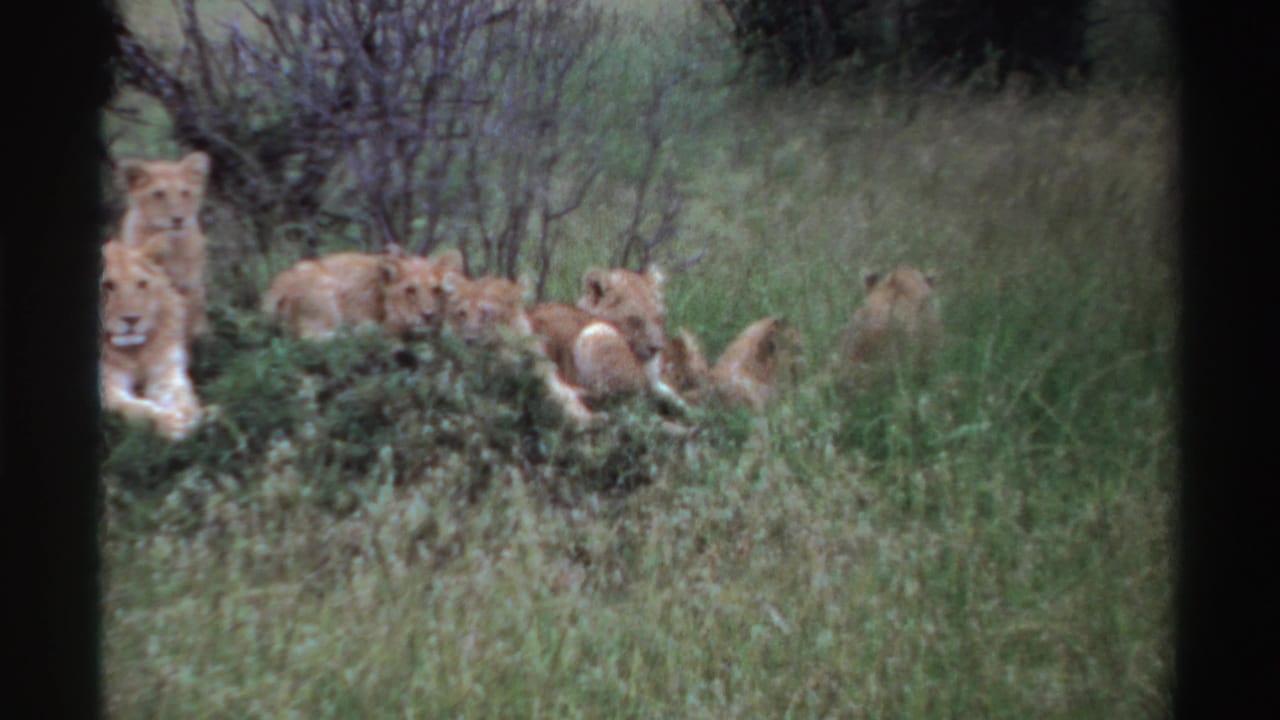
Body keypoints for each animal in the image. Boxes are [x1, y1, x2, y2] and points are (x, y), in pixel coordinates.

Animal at [100, 239, 203, 440]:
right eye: (107, 285)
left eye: (141, 283)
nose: (131, 319)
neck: (134, 352)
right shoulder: (105, 385)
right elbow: (135, 408)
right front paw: (170, 423)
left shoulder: (166, 370)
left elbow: (180, 394)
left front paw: (191, 413)